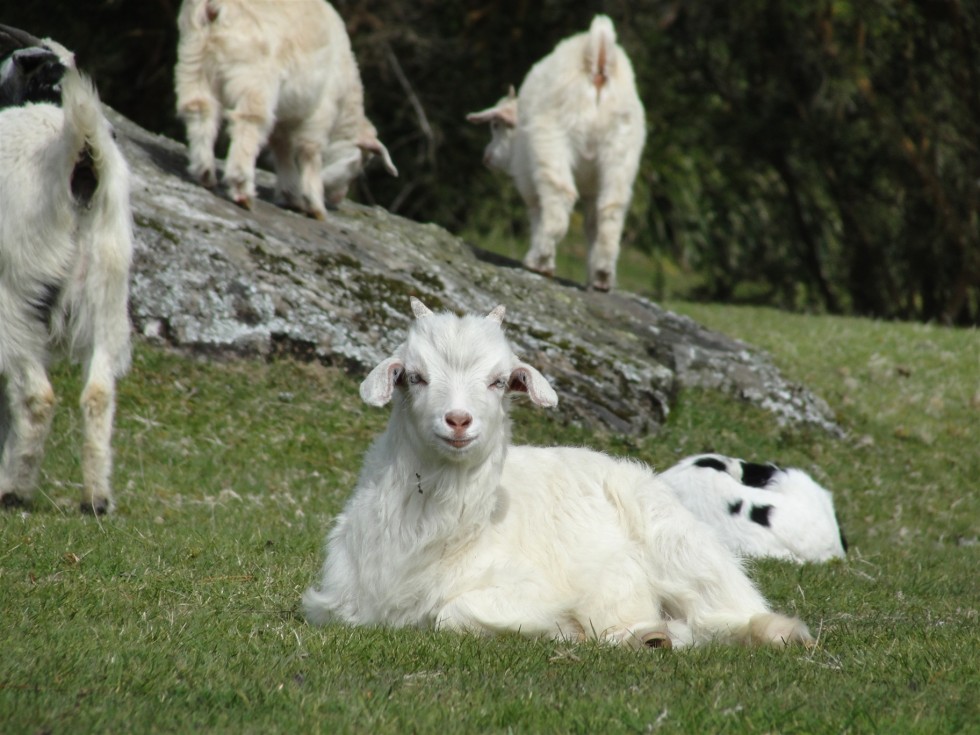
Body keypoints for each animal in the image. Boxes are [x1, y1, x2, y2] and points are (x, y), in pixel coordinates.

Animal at [174, 0, 396, 220]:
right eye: (359, 163)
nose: (338, 198)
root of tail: (214, 7)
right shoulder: (321, 109)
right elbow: (309, 151)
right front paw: (314, 205)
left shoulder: (285, 115)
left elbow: (282, 148)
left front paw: (290, 195)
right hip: (256, 74)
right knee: (248, 122)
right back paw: (242, 188)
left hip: (194, 57)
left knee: (199, 108)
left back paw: (204, 172)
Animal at [304, 300, 812, 648]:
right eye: (415, 376)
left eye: (499, 381)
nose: (458, 420)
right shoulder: (335, 601)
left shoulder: (527, 588)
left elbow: (451, 613)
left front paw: (565, 629)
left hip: (683, 551)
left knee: (723, 616)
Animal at [466, 15, 644, 292]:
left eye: (496, 125)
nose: (487, 157)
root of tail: (598, 56)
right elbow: (592, 223)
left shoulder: (528, 178)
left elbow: (537, 211)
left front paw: (541, 260)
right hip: (622, 149)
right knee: (611, 208)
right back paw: (602, 276)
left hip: (552, 139)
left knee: (560, 193)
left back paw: (538, 260)